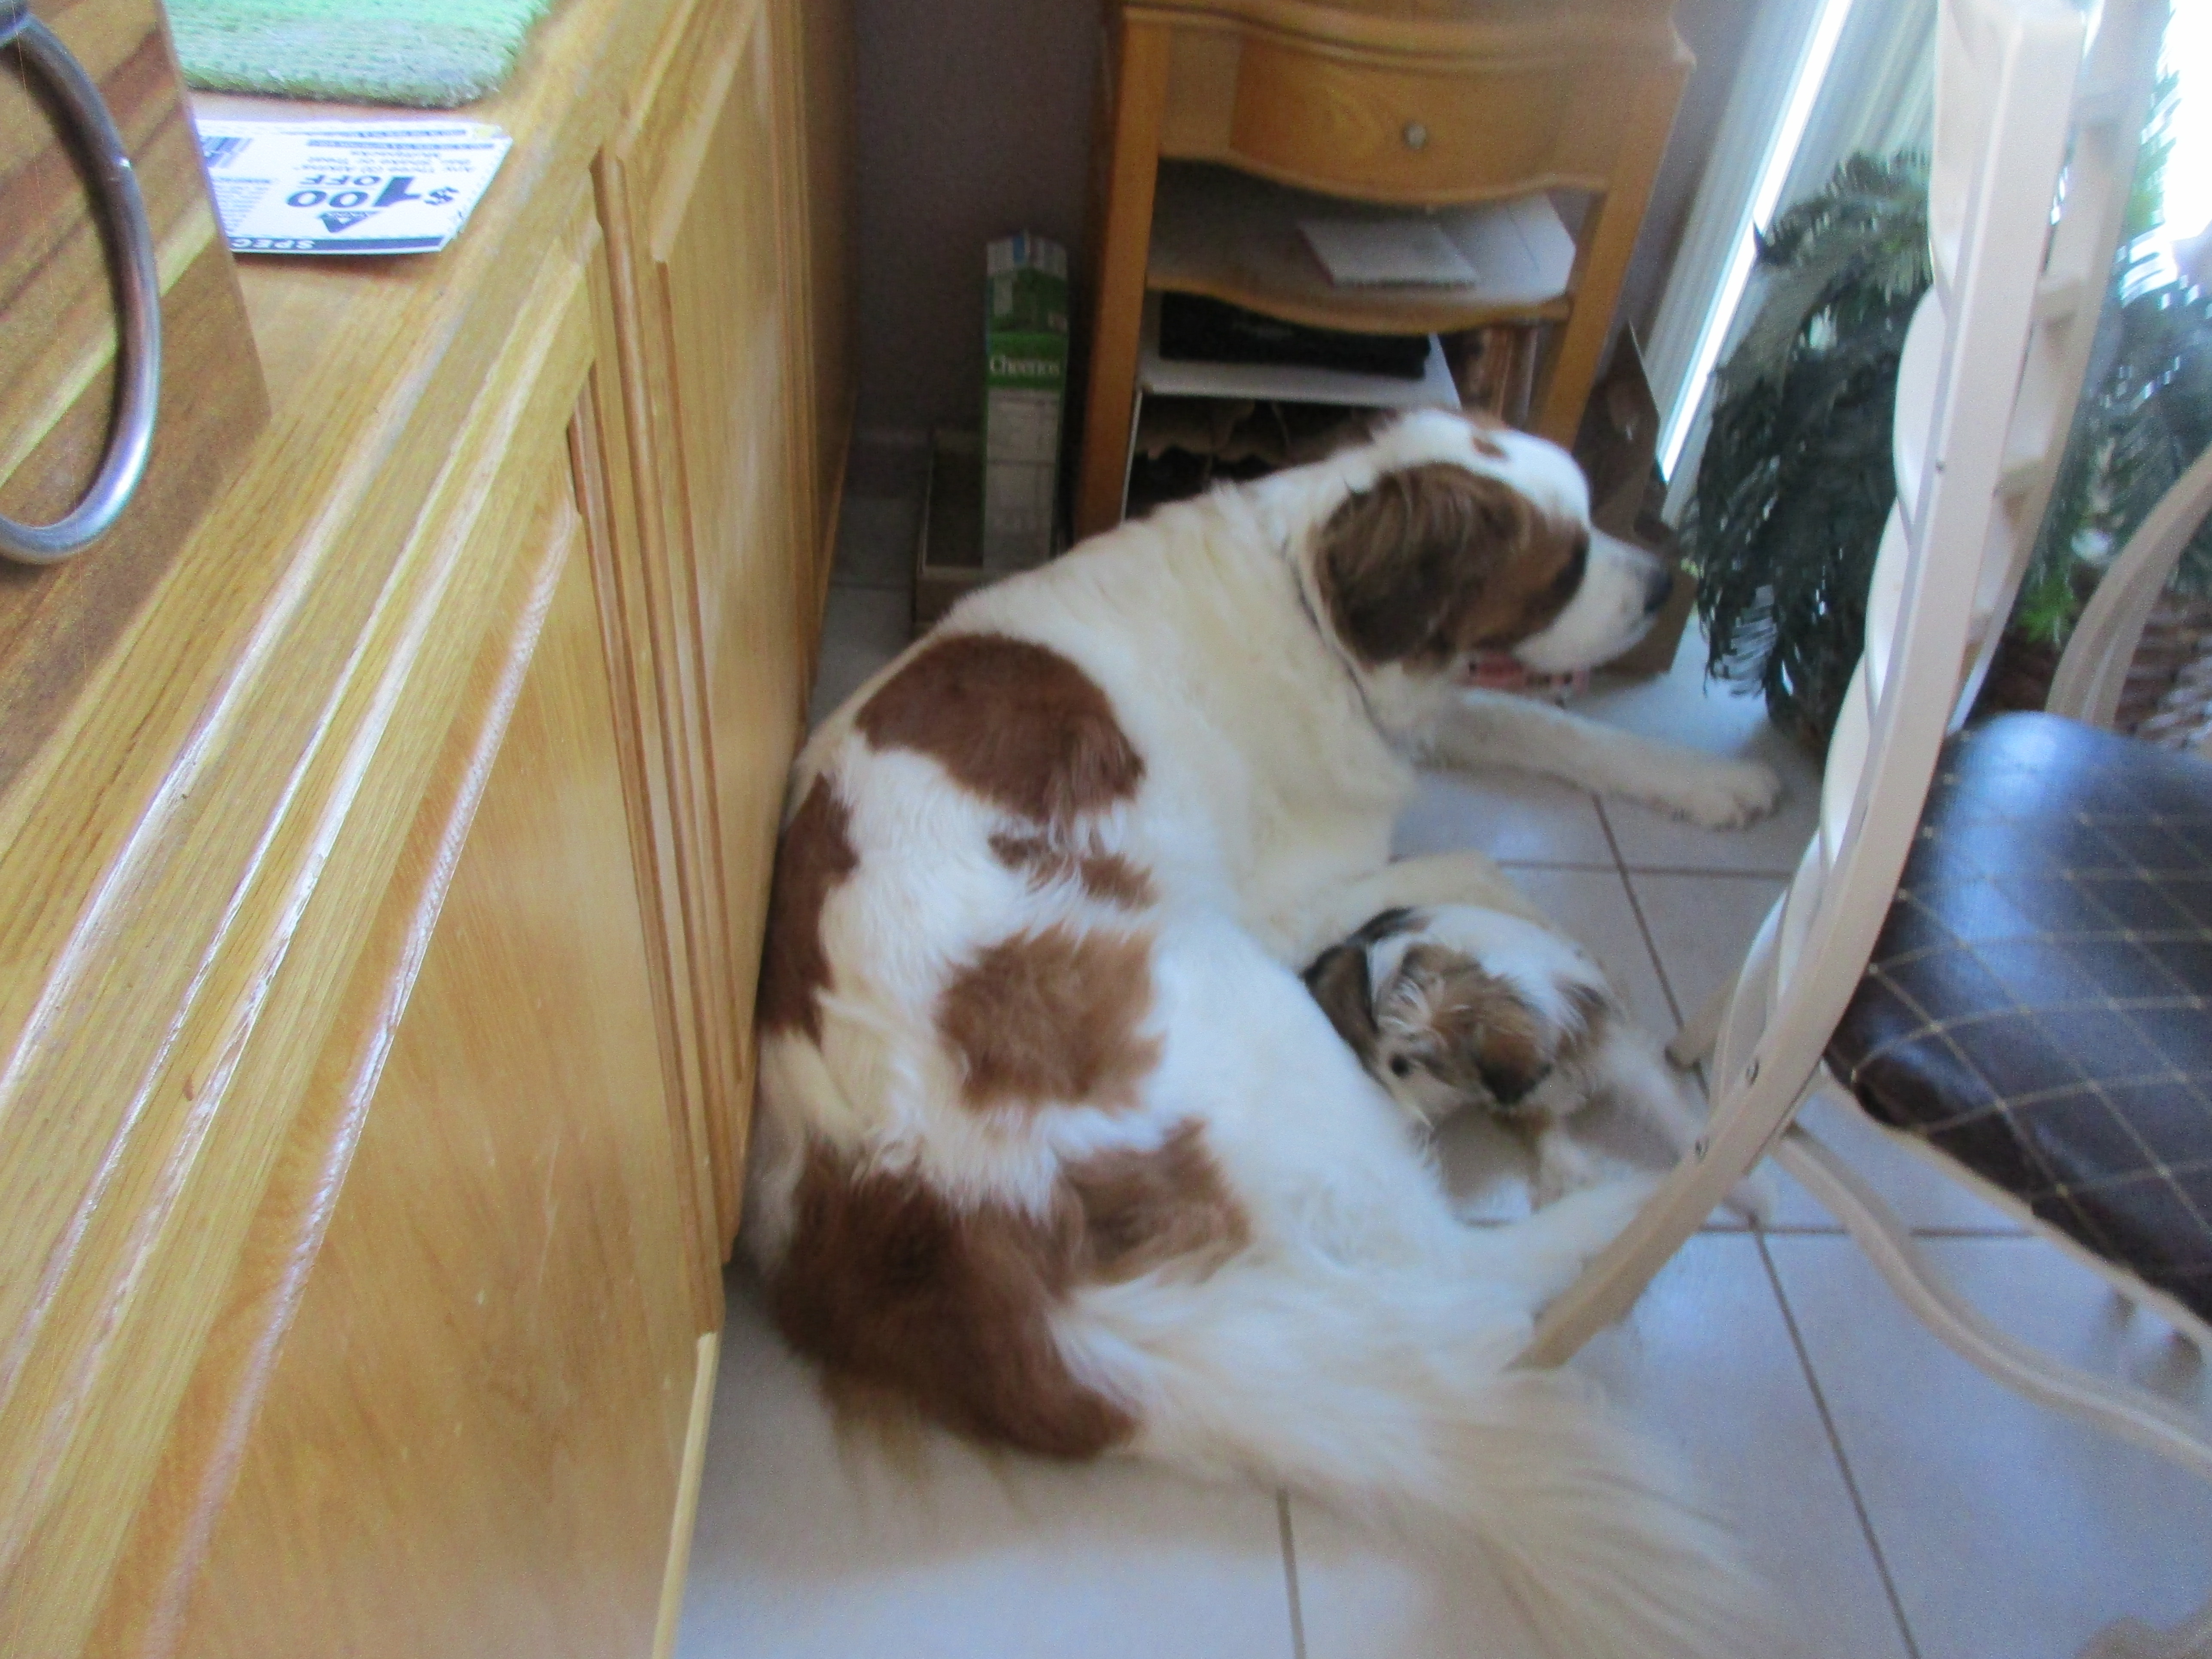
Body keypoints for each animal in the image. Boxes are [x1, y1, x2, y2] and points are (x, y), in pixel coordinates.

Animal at [1303, 902, 1768, 1214]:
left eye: (1423, 1060)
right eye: (1394, 1043)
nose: (1392, 1067)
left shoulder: (1619, 1057)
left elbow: (1672, 1112)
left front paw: (1736, 1183)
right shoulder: (1514, 1097)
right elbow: (1544, 1127)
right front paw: (1569, 1174)